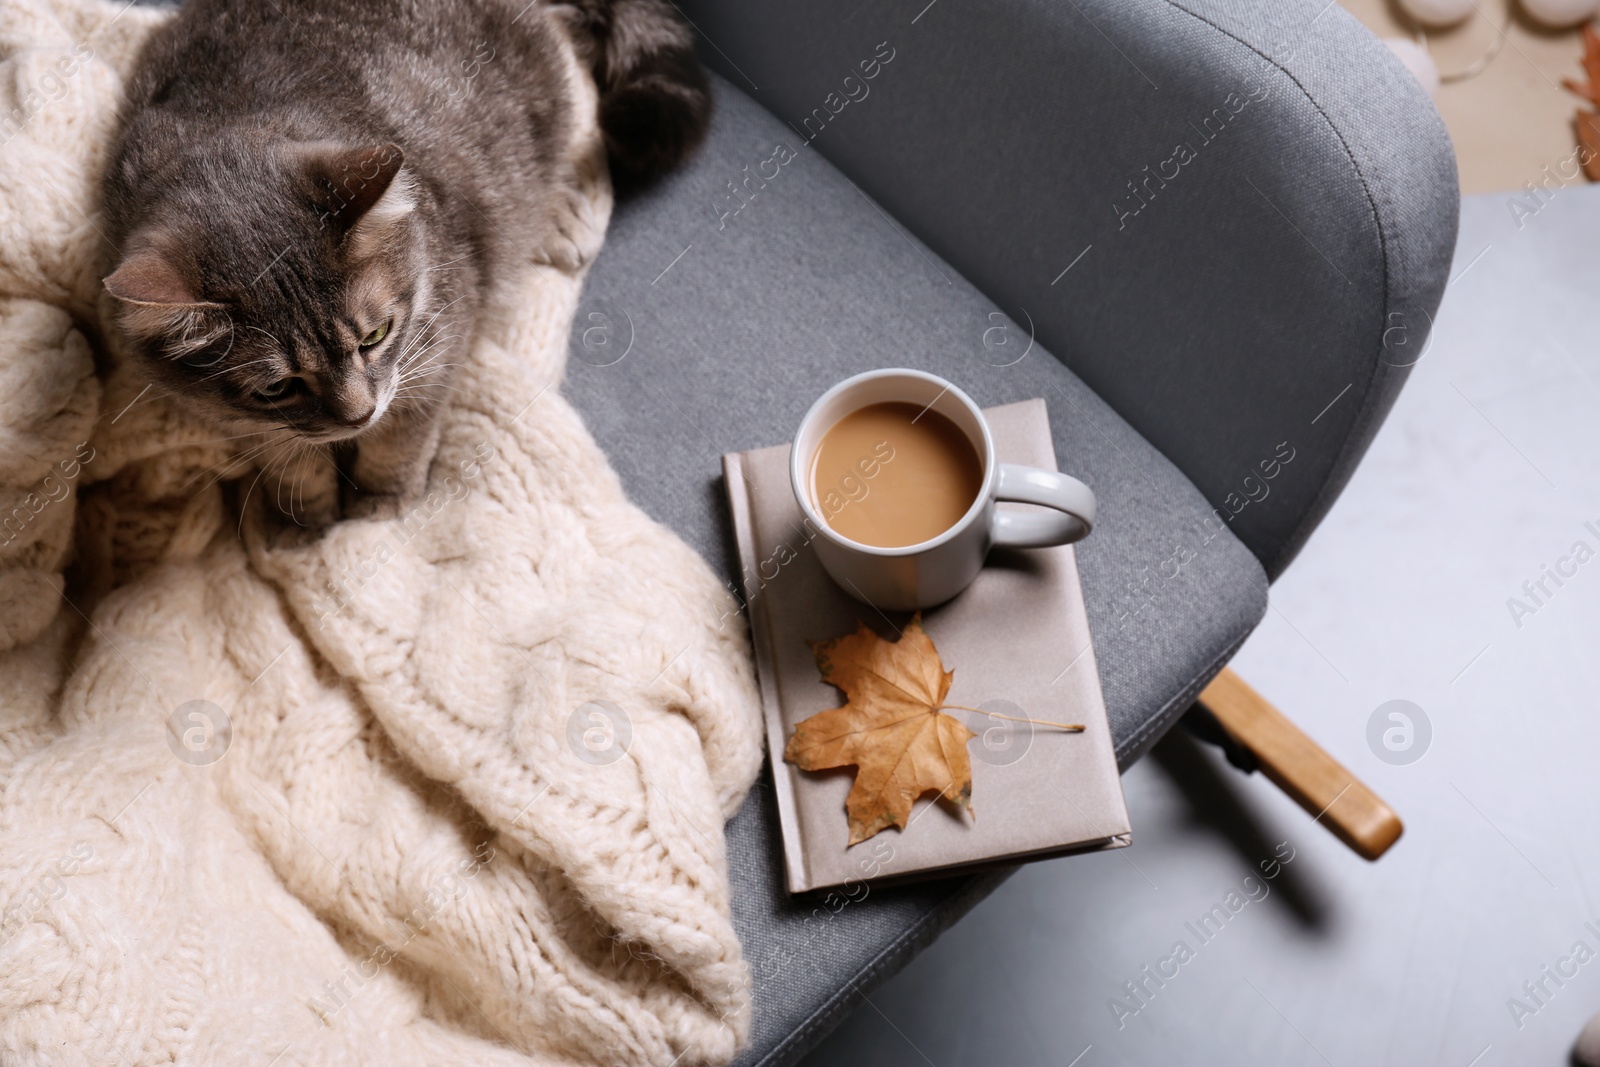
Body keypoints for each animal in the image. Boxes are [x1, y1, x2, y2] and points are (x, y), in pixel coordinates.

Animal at [103, 0, 710, 524]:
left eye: (376, 335)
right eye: (276, 388)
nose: (358, 416)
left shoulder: (438, 343)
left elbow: (401, 439)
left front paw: (380, 506)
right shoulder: (240, 419)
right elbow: (290, 460)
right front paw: (306, 520)